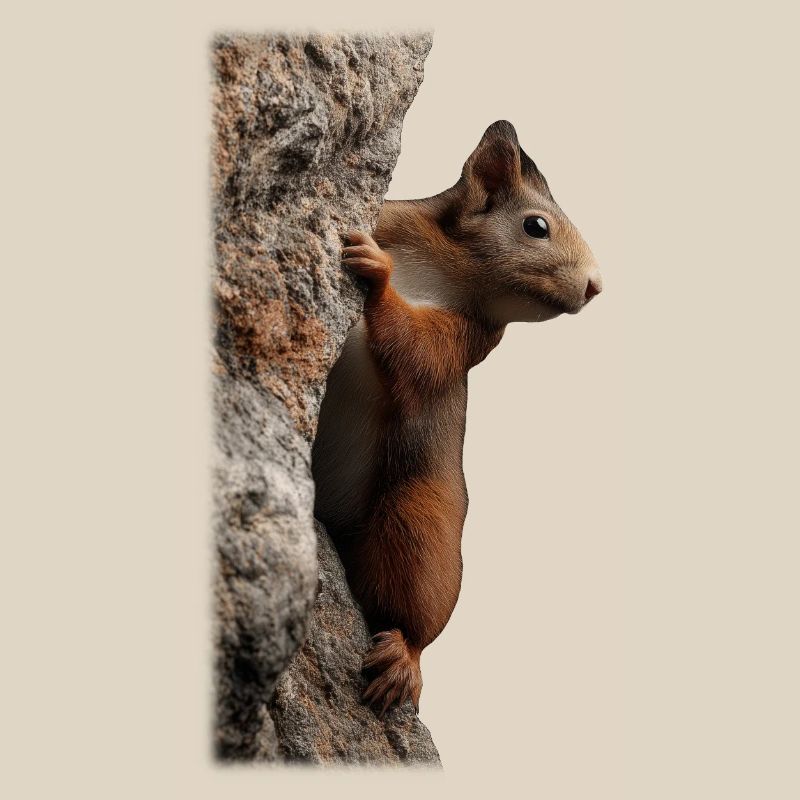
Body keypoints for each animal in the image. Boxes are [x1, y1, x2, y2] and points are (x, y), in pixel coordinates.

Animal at [311, 120, 602, 716]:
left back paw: (403, 657)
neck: (451, 265)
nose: (596, 285)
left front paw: (378, 276)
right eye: (536, 226)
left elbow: (418, 353)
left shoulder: (469, 338)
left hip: (423, 517)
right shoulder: (396, 219)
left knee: (415, 601)